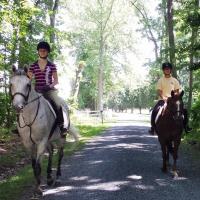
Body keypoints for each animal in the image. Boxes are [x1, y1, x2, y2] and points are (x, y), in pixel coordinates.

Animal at [9, 66, 79, 196]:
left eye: (28, 85)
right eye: (11, 84)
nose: (17, 106)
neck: (30, 116)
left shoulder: (41, 142)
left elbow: (37, 165)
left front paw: (38, 189)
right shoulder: (28, 144)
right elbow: (33, 165)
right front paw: (38, 185)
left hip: (61, 138)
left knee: (60, 154)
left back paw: (57, 178)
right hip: (49, 139)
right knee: (51, 151)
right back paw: (49, 177)